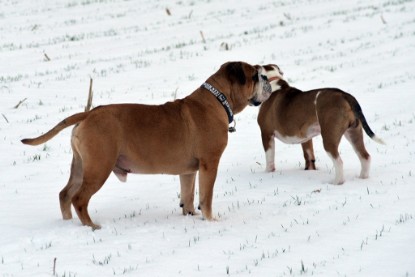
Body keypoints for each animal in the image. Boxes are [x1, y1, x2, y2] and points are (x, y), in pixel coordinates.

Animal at [22, 61, 282, 227]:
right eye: (255, 76)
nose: (267, 80)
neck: (218, 99)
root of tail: (88, 114)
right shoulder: (209, 164)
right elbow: (206, 197)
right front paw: (210, 220)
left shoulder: (188, 171)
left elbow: (188, 195)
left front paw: (189, 214)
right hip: (99, 167)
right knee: (79, 199)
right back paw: (92, 227)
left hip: (80, 166)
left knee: (65, 195)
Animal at [258, 64, 386, 184]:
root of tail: (344, 95)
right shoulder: (306, 138)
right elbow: (309, 156)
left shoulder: (266, 133)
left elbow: (269, 157)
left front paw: (267, 172)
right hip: (354, 132)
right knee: (365, 157)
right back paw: (362, 178)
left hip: (330, 137)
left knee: (339, 162)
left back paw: (336, 182)